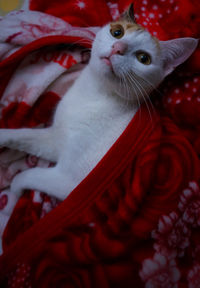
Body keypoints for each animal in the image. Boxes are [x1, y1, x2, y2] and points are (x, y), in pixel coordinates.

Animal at [0, 4, 198, 202]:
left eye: (144, 58)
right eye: (117, 32)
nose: (118, 47)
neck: (93, 94)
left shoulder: (72, 182)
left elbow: (29, 175)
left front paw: (15, 192)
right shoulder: (55, 139)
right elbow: (24, 135)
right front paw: (3, 136)